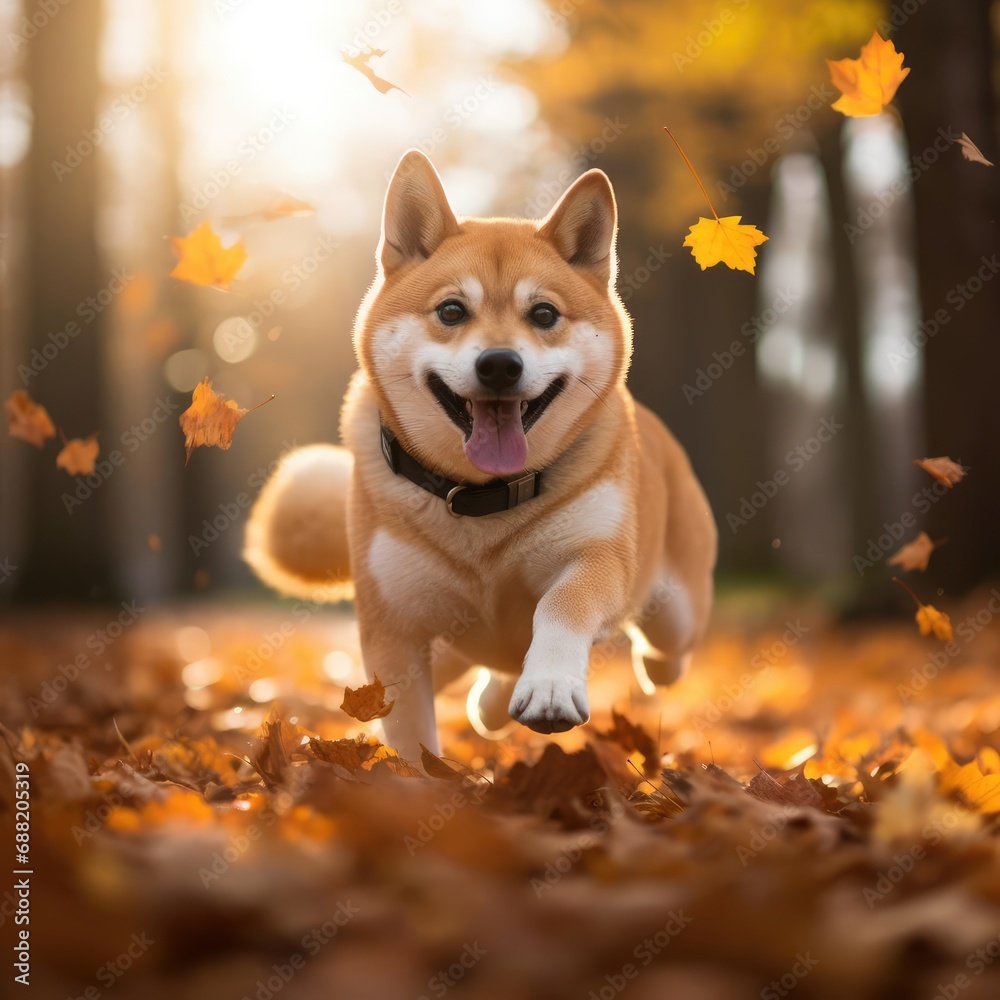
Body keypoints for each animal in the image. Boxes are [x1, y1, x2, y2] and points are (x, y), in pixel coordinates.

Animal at [249, 148, 720, 760]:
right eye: (452, 311)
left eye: (544, 315)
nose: (499, 364)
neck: (481, 500)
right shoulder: (393, 629)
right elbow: (408, 735)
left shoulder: (596, 559)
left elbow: (561, 607)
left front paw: (550, 686)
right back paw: (493, 703)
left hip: (676, 617)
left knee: (662, 657)